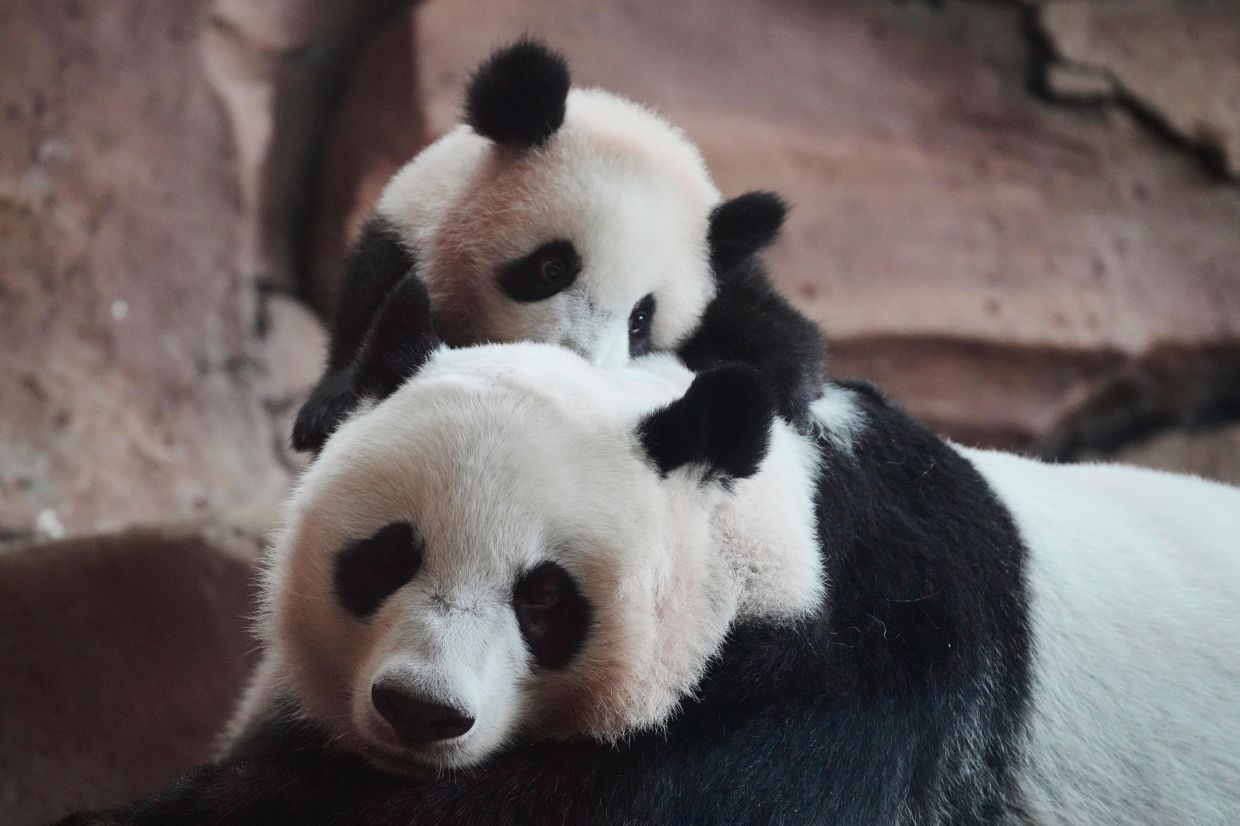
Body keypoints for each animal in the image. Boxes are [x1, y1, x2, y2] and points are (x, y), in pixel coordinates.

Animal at [291, 38, 825, 453]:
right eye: (553, 268)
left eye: (641, 320)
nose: (571, 369)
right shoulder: (412, 226)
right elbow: (371, 300)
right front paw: (330, 407)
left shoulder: (728, 282)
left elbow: (772, 330)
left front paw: (788, 395)